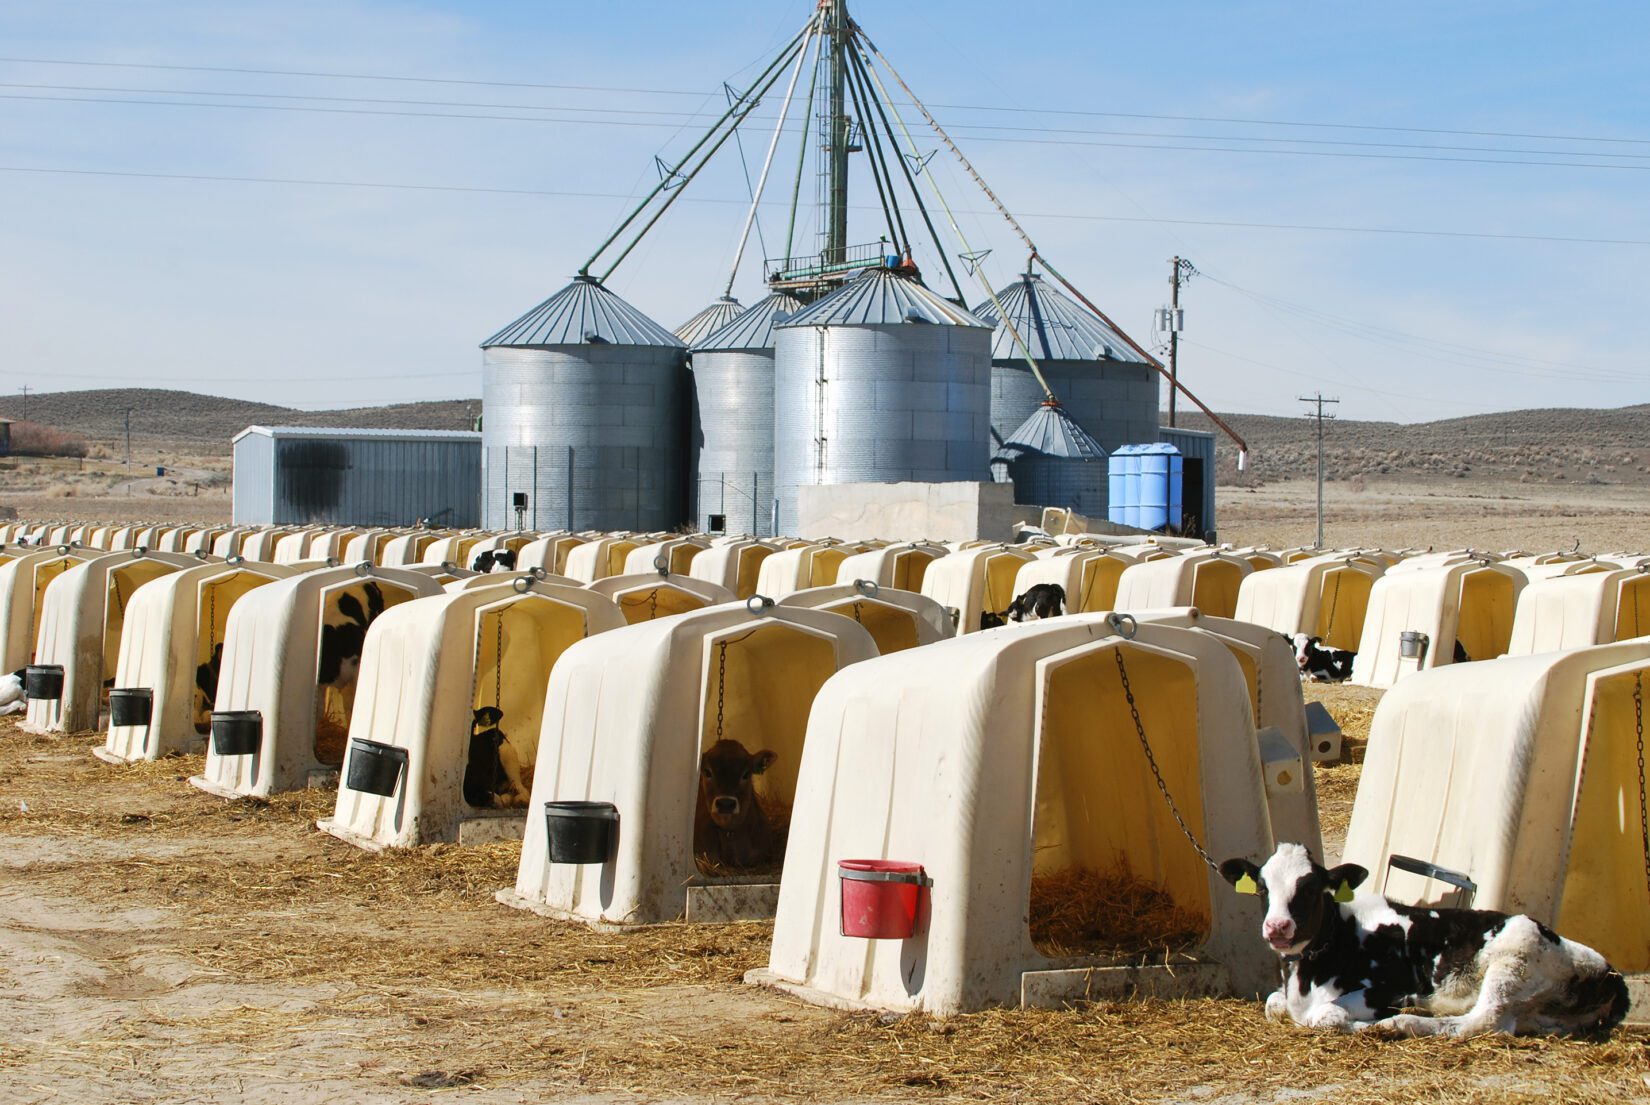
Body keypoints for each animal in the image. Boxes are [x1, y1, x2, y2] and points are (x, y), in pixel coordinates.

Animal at [1221, 851, 1630, 1042]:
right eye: (1262, 888)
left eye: (1309, 889)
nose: (1277, 927)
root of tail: (1606, 969)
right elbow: (1273, 1004)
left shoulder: (1388, 988)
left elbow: (1325, 1016)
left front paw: (1362, 1022)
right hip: (1540, 1012)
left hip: (1514, 953)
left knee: (1481, 1022)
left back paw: (1400, 1022)